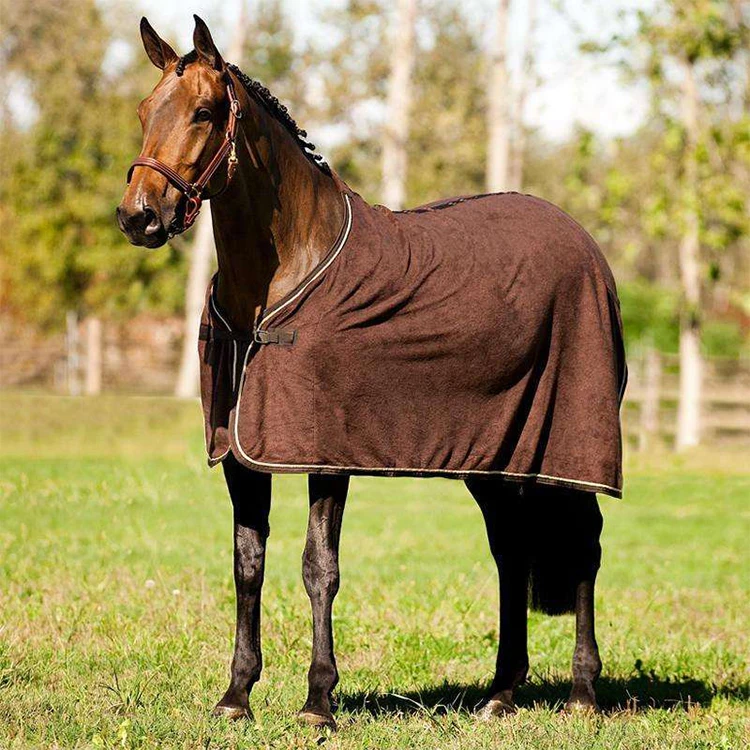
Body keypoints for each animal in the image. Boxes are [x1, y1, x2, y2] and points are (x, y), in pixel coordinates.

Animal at [117, 15, 626, 728]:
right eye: (144, 111)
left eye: (205, 112)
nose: (139, 216)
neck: (284, 276)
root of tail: (585, 244)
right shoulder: (243, 456)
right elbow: (248, 565)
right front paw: (236, 696)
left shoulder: (327, 451)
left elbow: (317, 568)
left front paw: (318, 702)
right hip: (497, 458)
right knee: (511, 551)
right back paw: (500, 693)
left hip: (569, 445)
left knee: (583, 545)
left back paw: (582, 692)